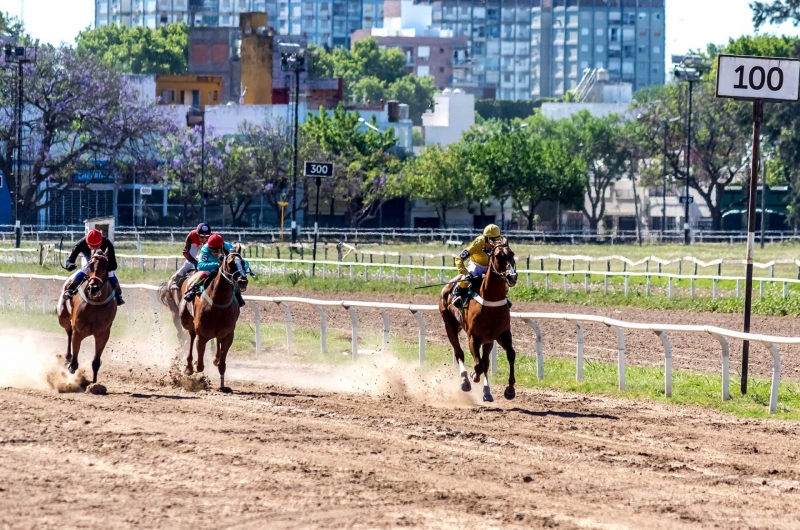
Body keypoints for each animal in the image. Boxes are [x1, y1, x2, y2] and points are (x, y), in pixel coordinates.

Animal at [57, 248, 119, 384]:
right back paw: (68, 358)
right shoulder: (79, 330)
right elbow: (75, 358)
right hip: (62, 316)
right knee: (68, 330)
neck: (95, 304)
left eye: (106, 266)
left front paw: (94, 383)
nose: (93, 288)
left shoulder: (103, 334)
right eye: (90, 265)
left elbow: (96, 362)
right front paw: (71, 366)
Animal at [178, 245, 247, 390]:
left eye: (243, 263)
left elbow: (222, 363)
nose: (243, 281)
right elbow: (199, 366)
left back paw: (215, 358)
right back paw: (189, 366)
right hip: (186, 319)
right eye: (230, 263)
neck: (218, 303)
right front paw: (193, 366)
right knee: (191, 335)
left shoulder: (228, 334)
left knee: (217, 341)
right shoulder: (202, 334)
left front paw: (223, 386)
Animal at [438, 239, 520, 400]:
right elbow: (478, 365)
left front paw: (510, 390)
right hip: (449, 325)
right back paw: (465, 380)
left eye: (512, 254)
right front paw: (472, 376)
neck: (491, 301)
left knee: (486, 361)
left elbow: (510, 355)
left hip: (488, 340)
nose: (512, 277)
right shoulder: (473, 338)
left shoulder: (502, 335)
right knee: (459, 354)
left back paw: (487, 392)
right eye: (498, 256)